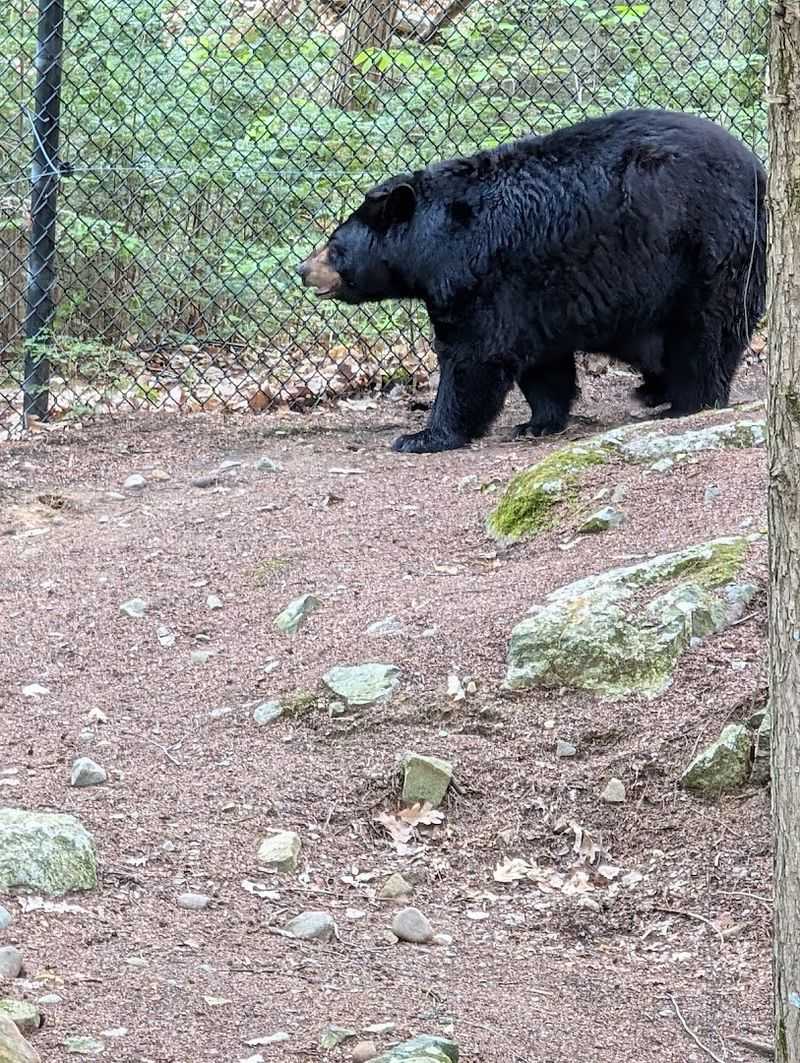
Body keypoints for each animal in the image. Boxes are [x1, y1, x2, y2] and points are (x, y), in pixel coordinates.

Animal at [298, 109, 766, 454]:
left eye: (335, 244)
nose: (303, 269)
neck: (439, 241)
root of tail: (757, 169)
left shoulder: (481, 279)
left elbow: (473, 355)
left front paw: (423, 435)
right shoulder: (532, 294)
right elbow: (541, 361)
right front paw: (536, 422)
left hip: (707, 251)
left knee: (705, 333)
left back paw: (689, 402)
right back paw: (653, 391)